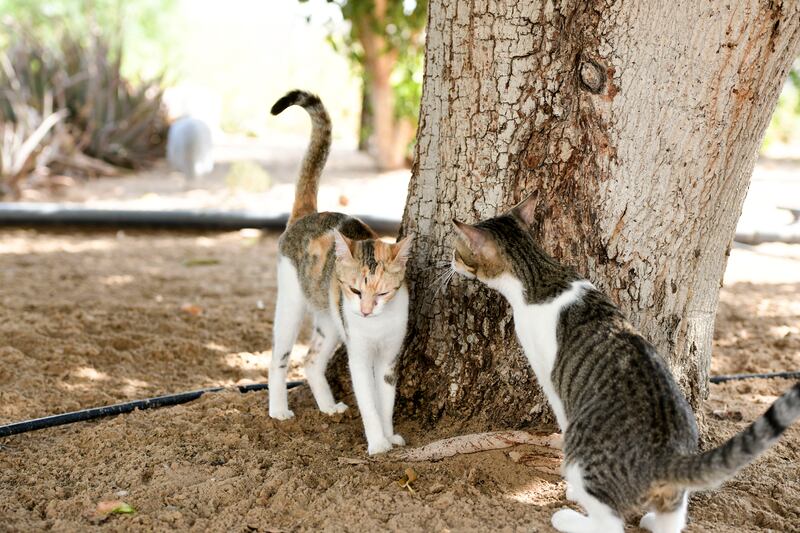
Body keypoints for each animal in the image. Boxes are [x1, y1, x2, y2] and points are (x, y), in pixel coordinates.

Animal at [270, 89, 412, 456]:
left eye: (383, 293)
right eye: (355, 289)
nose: (365, 310)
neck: (376, 326)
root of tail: (307, 215)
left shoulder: (390, 357)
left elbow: (385, 401)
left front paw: (390, 435)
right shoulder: (359, 357)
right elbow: (369, 403)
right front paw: (377, 443)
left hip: (331, 322)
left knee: (310, 361)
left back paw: (327, 406)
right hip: (291, 305)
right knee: (279, 358)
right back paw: (277, 410)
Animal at [450, 193, 800, 528]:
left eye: (459, 252)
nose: (450, 262)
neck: (540, 275)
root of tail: (668, 454)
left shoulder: (552, 381)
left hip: (585, 458)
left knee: (610, 523)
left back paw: (569, 518)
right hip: (672, 493)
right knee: (671, 519)